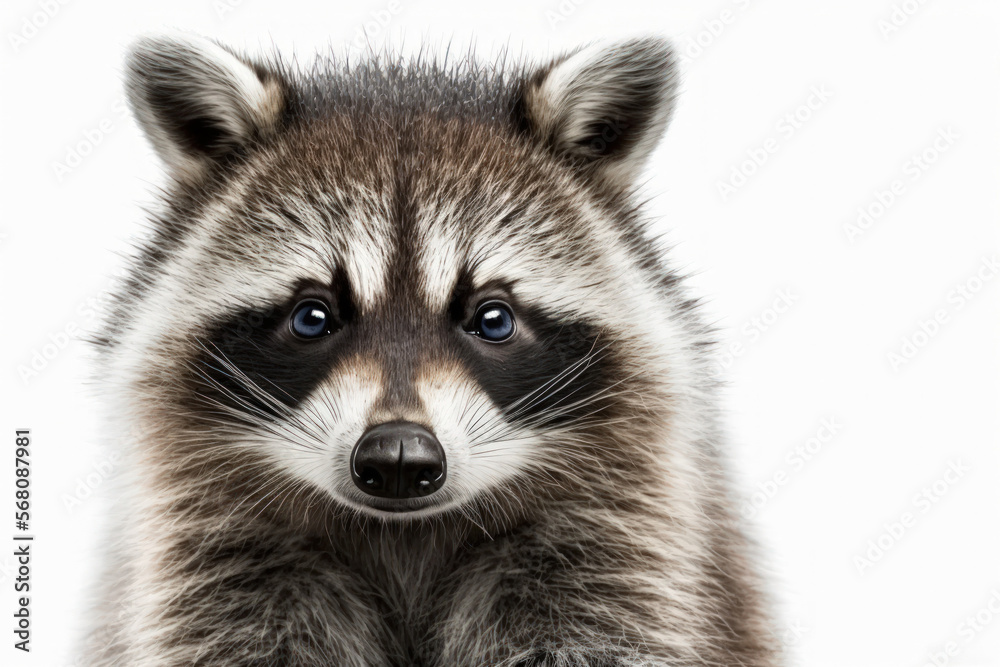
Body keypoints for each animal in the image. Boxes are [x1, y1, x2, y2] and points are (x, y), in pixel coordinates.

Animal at [84, 32, 780, 667]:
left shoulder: (615, 552)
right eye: (313, 317)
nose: (397, 456)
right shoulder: (220, 567)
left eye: (492, 319)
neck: (404, 538)